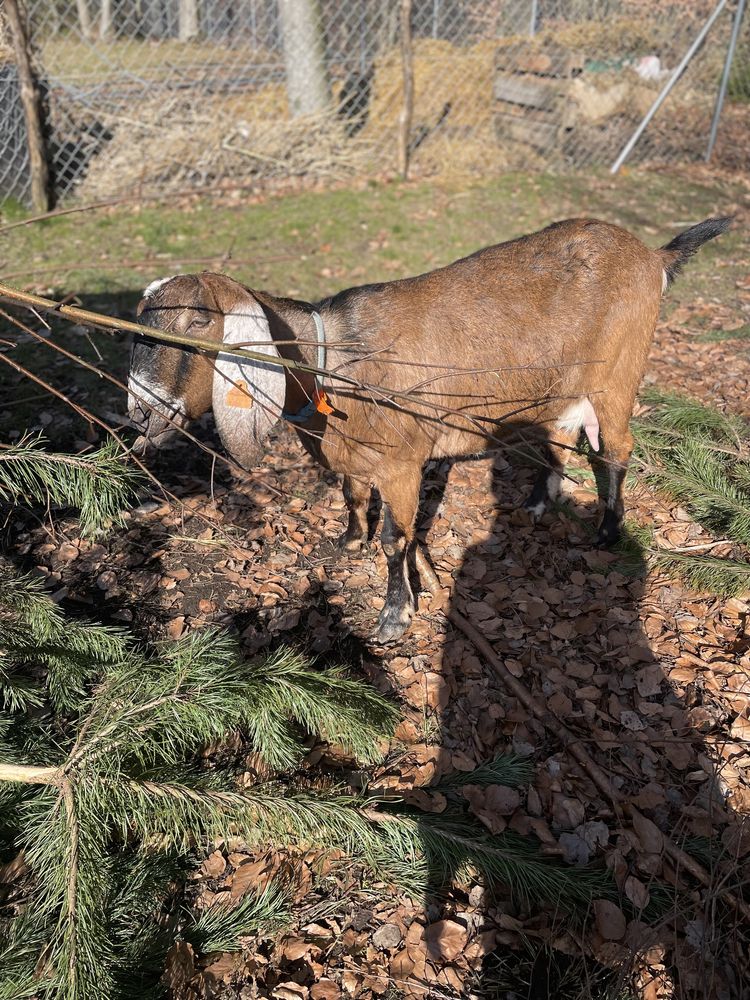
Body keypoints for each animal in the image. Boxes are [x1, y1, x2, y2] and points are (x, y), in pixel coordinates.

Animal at [131, 217, 736, 640]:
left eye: (199, 320)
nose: (140, 411)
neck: (335, 359)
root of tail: (653, 255)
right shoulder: (357, 458)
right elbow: (352, 495)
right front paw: (349, 541)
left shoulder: (402, 463)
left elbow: (397, 540)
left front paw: (395, 614)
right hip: (560, 388)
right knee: (562, 438)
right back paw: (539, 502)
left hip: (619, 374)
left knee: (614, 448)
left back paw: (608, 531)